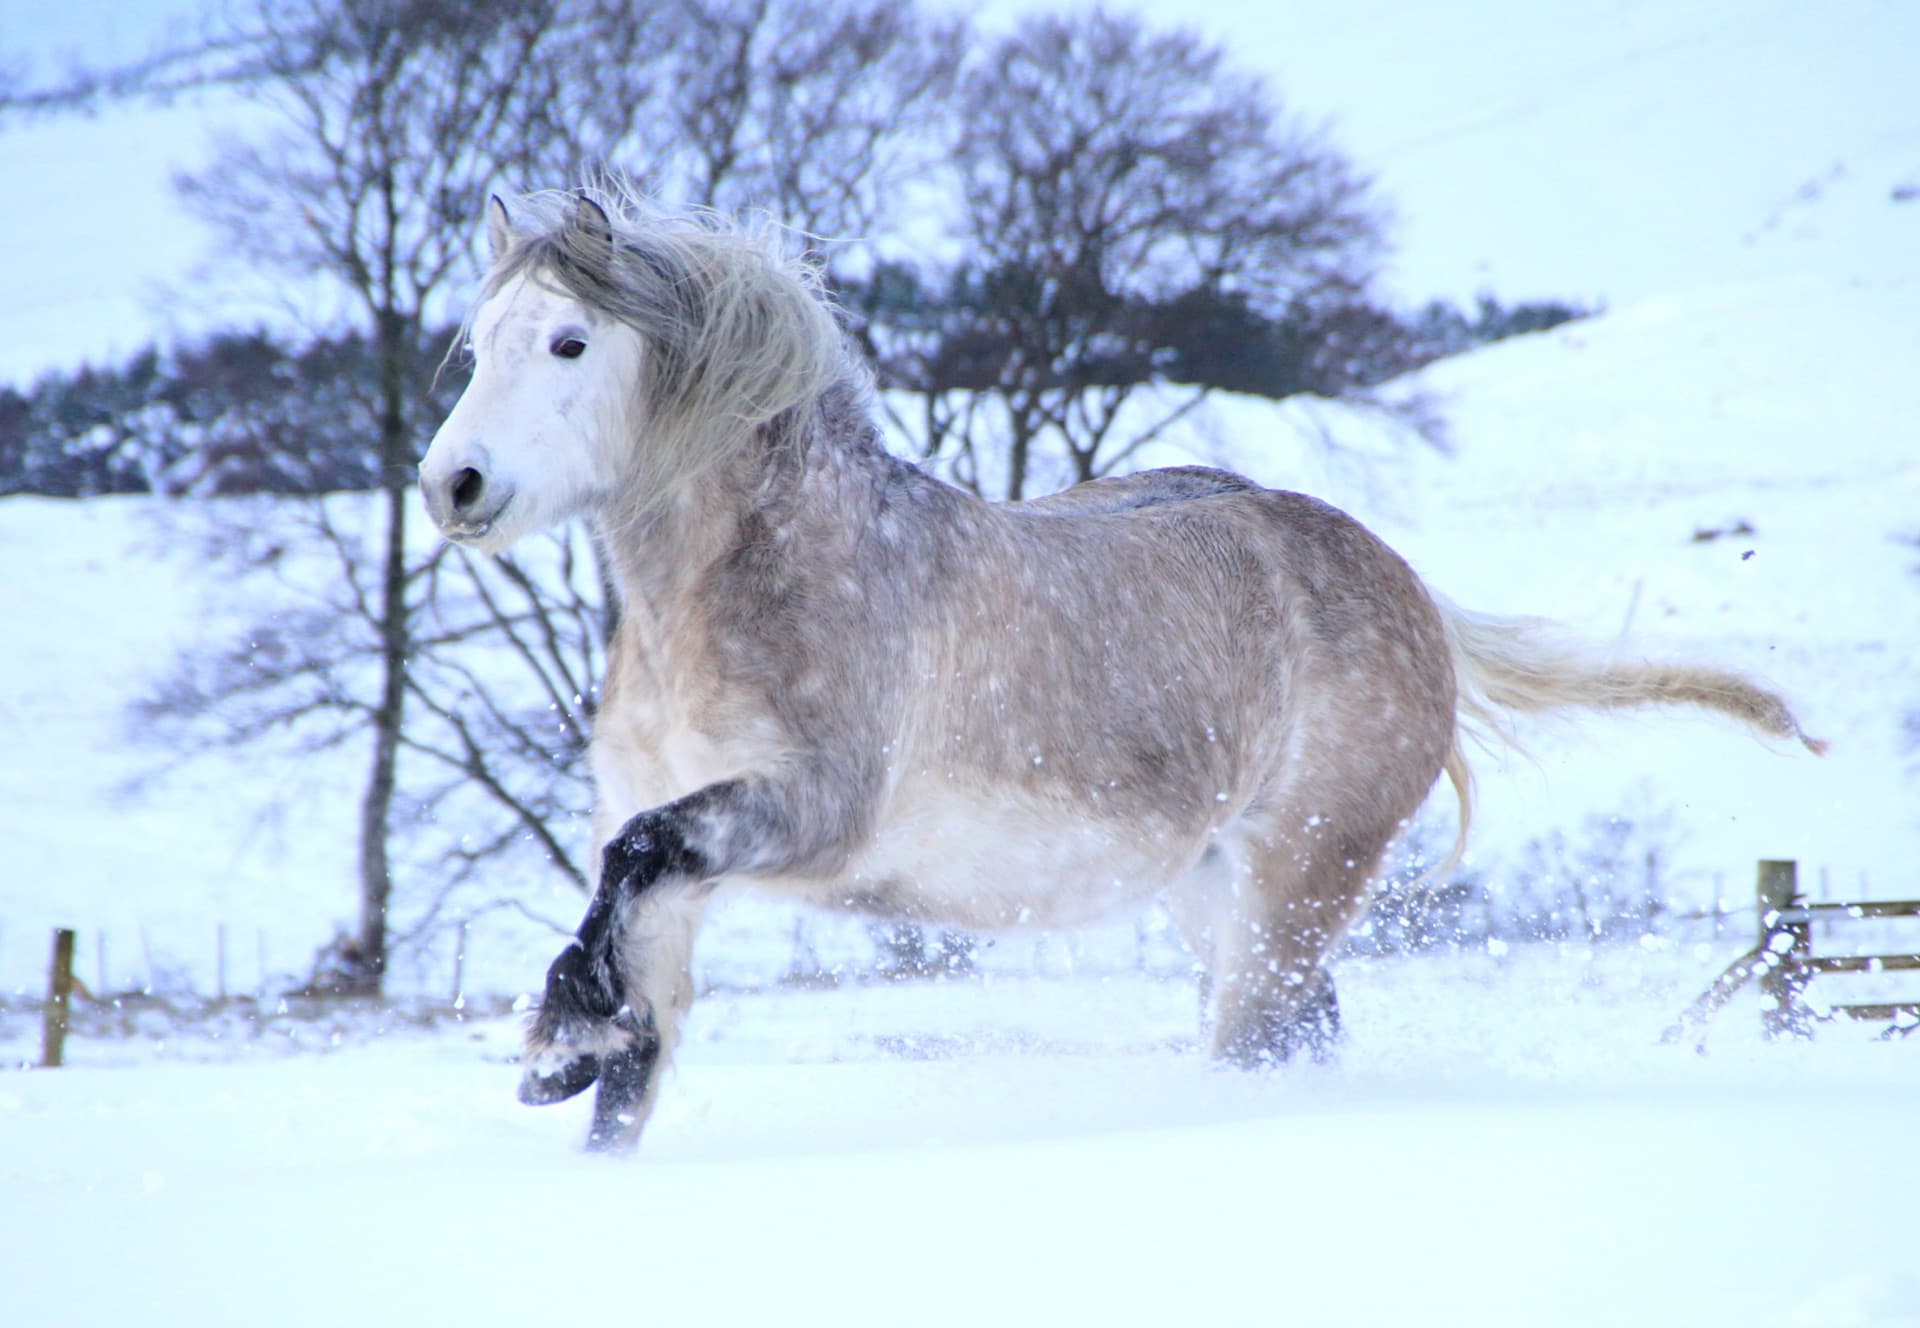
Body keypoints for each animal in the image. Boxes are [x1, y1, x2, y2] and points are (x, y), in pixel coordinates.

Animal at [418, 188, 1823, 1152]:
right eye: (479, 340)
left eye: (568, 344)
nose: (454, 485)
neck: (768, 580)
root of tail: (1401, 581)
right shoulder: (686, 857)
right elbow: (639, 1017)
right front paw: (575, 1065)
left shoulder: (809, 814)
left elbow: (635, 868)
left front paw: (555, 1044)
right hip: (1212, 887)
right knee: (1302, 1029)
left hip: (1299, 879)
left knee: (1258, 1037)